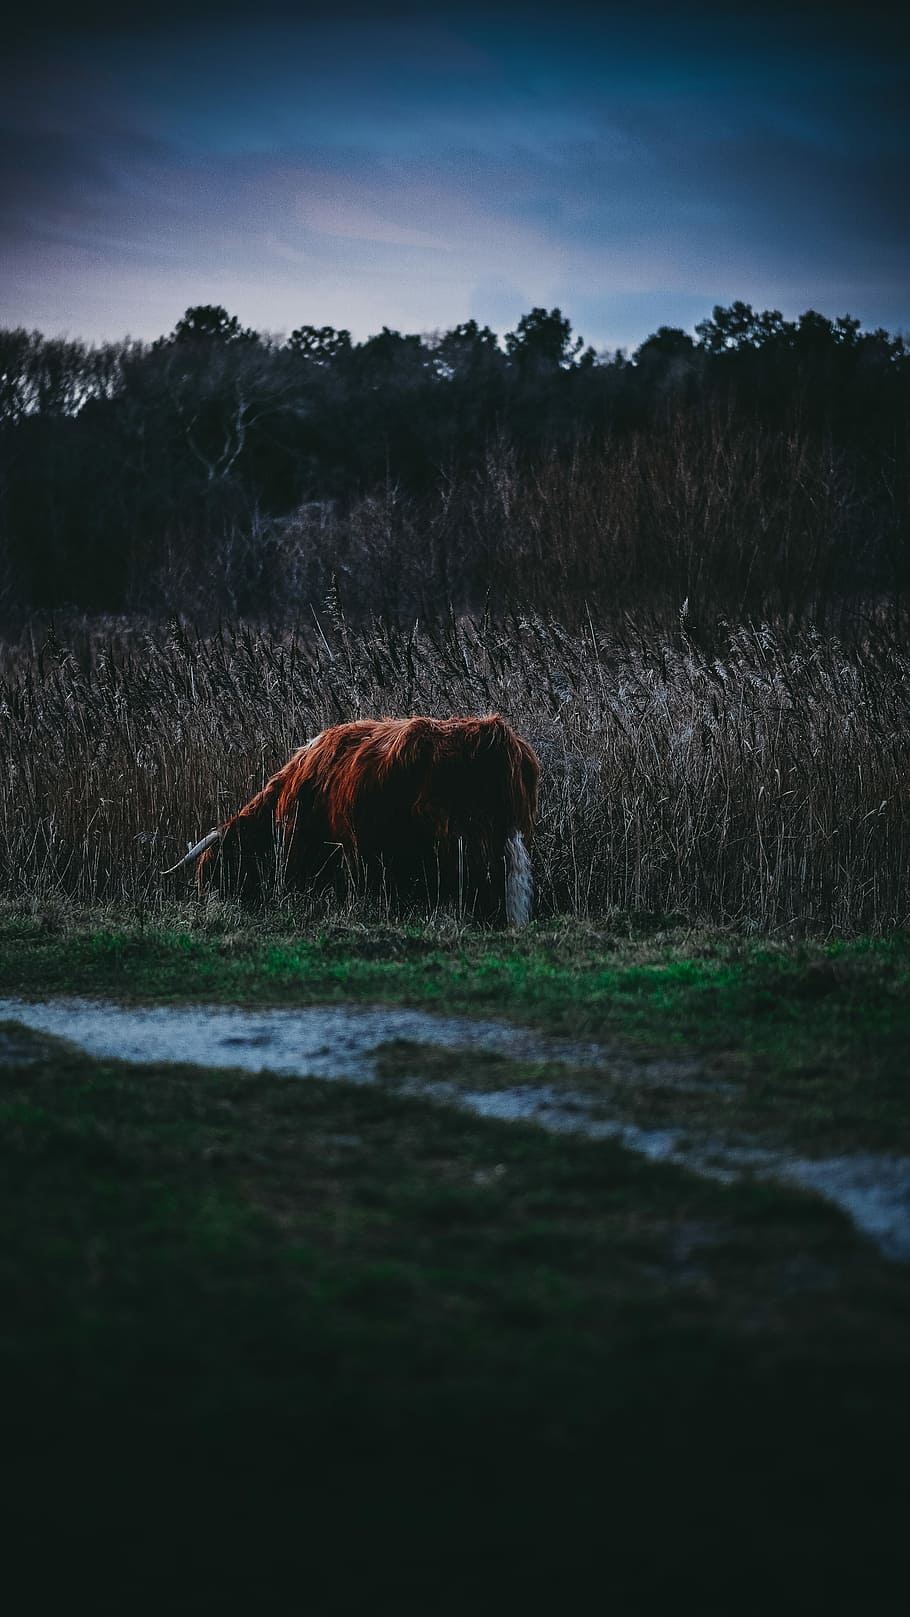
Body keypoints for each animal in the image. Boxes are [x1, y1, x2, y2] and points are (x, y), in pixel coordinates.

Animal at [164, 715, 540, 924]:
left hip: (461, 833)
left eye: (217, 864)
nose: (208, 899)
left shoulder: (313, 848)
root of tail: (495, 732)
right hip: (503, 833)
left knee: (477, 877)